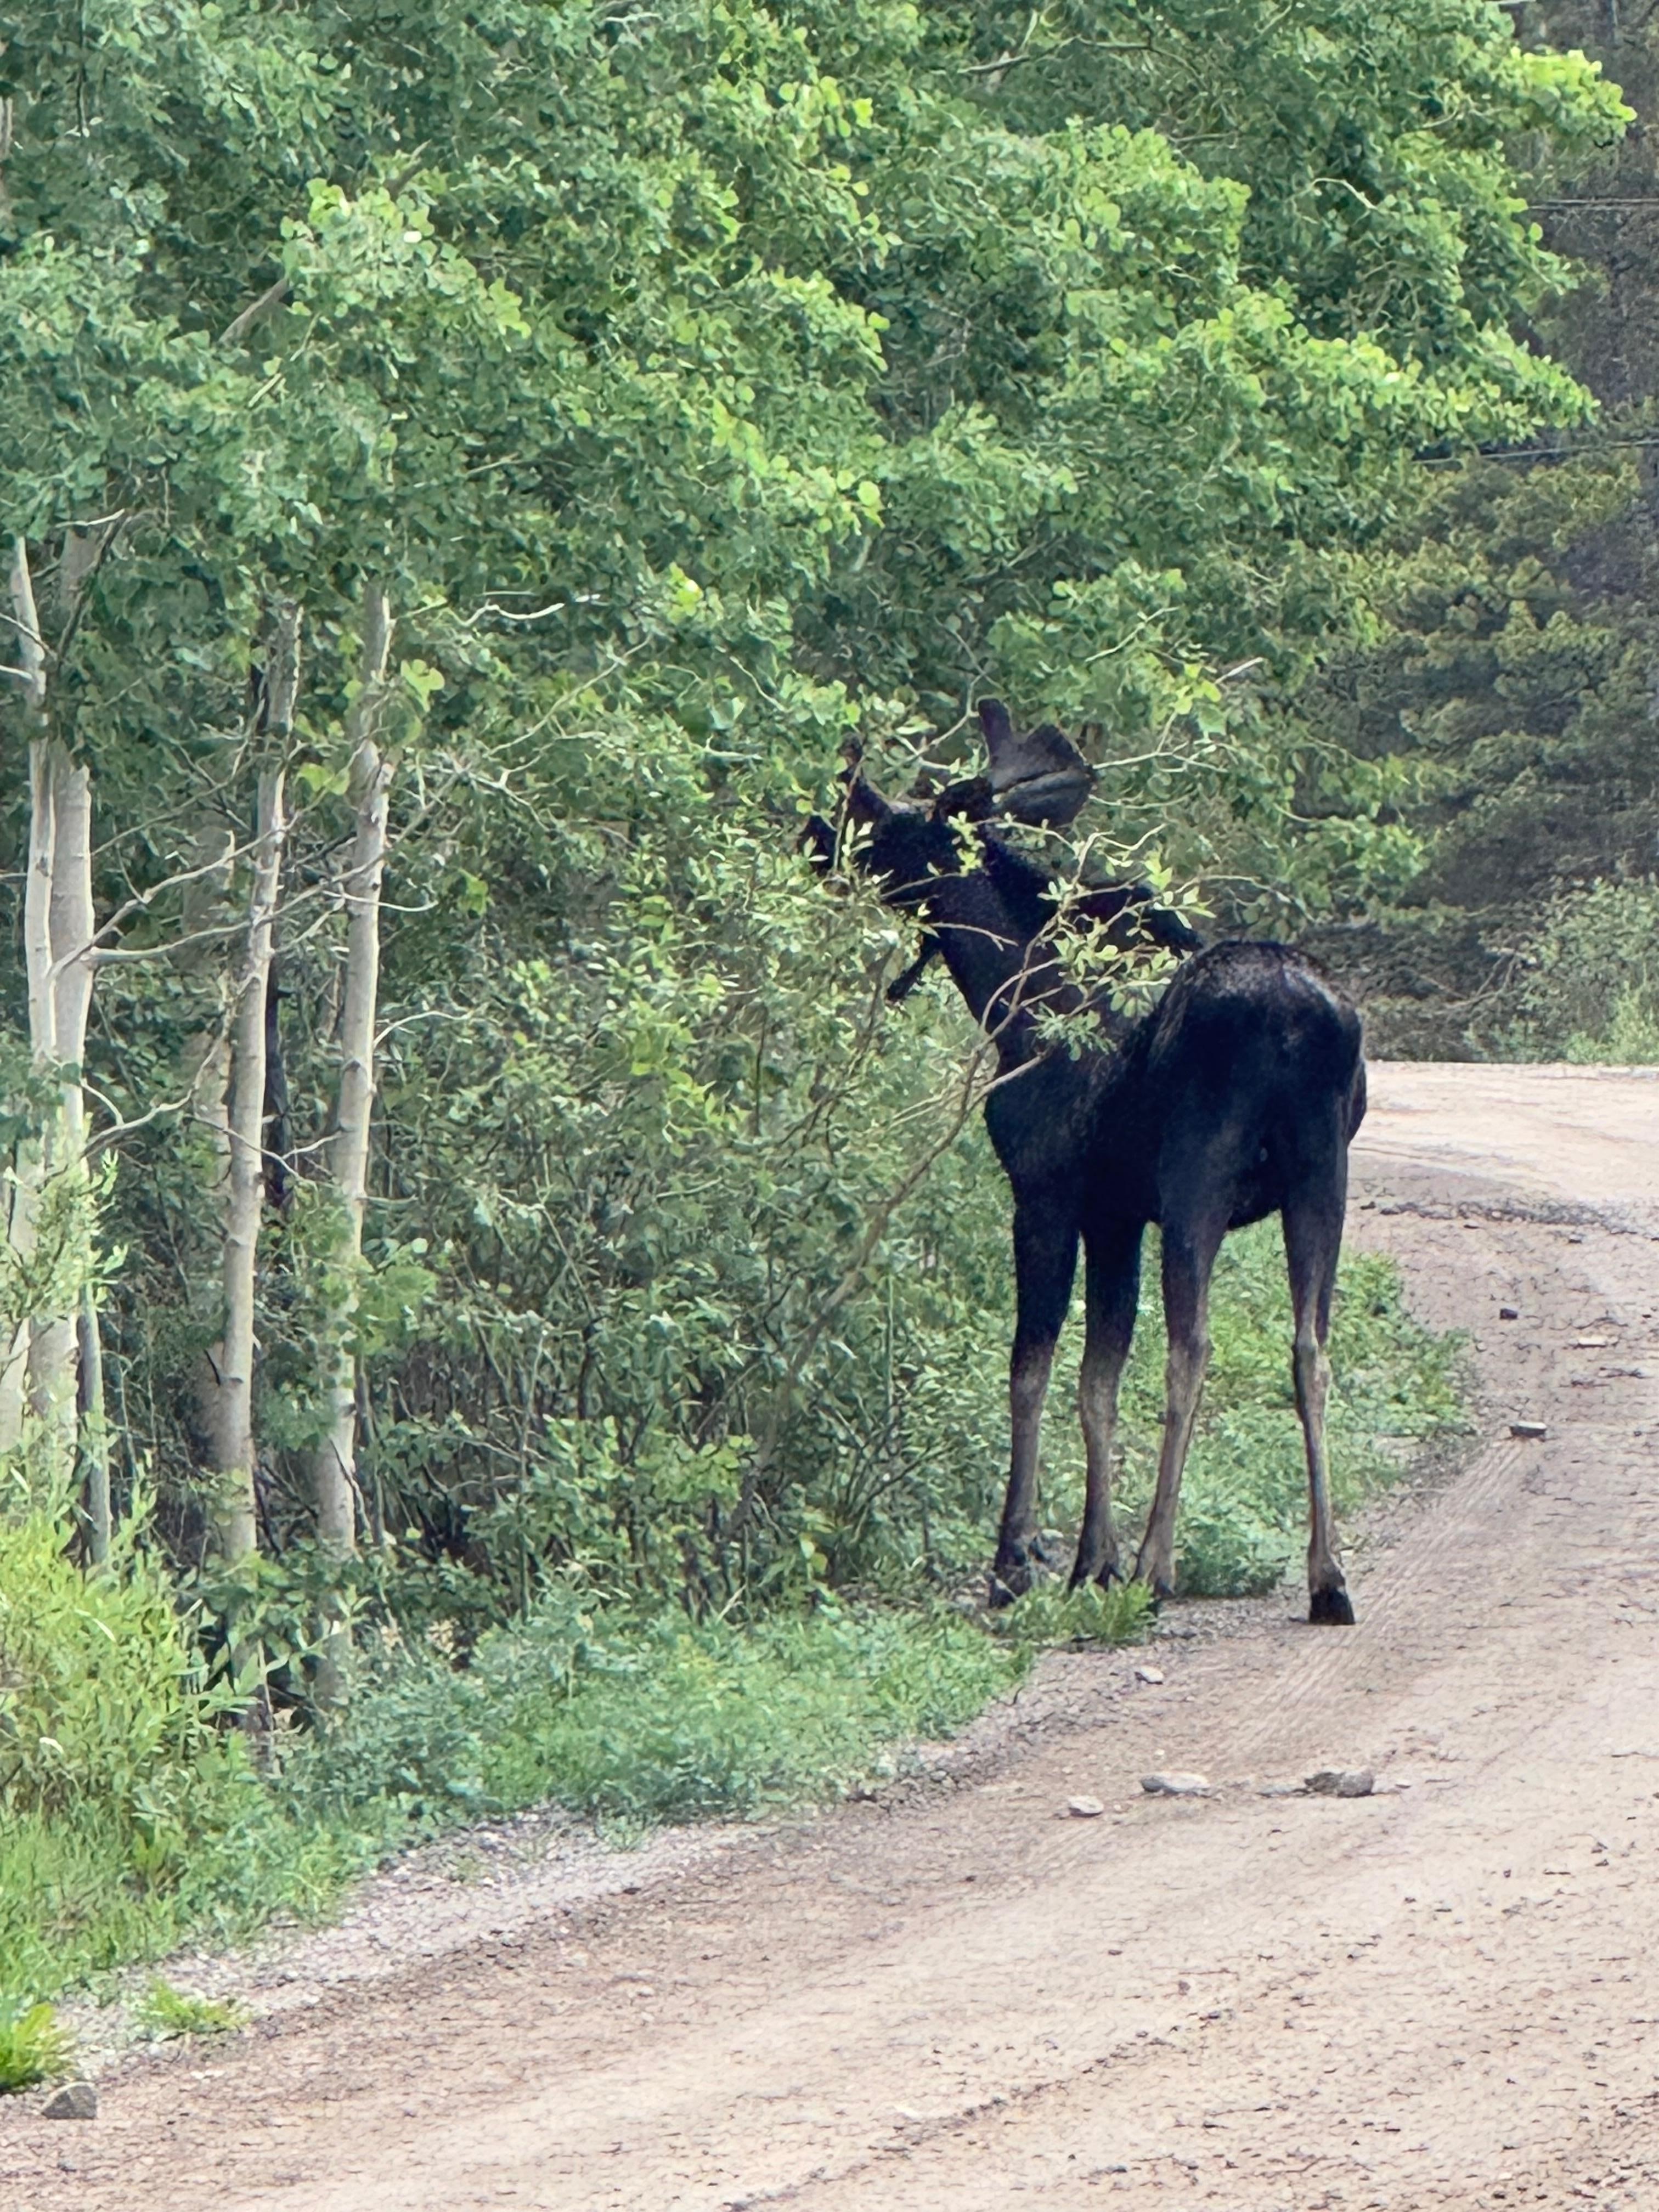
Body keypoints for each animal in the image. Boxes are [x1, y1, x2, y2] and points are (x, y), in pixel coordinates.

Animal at [806, 701, 1367, 1623]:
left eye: (888, 826)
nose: (816, 836)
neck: (1013, 1002)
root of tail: (1302, 1017)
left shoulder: (1045, 1196)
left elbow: (1030, 1372)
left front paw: (1018, 1561)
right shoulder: (1114, 1219)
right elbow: (1097, 1380)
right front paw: (1086, 1559)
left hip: (1198, 1179)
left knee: (1194, 1347)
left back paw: (1157, 1565)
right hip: (1322, 1177)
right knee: (1309, 1349)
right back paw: (1328, 1576)